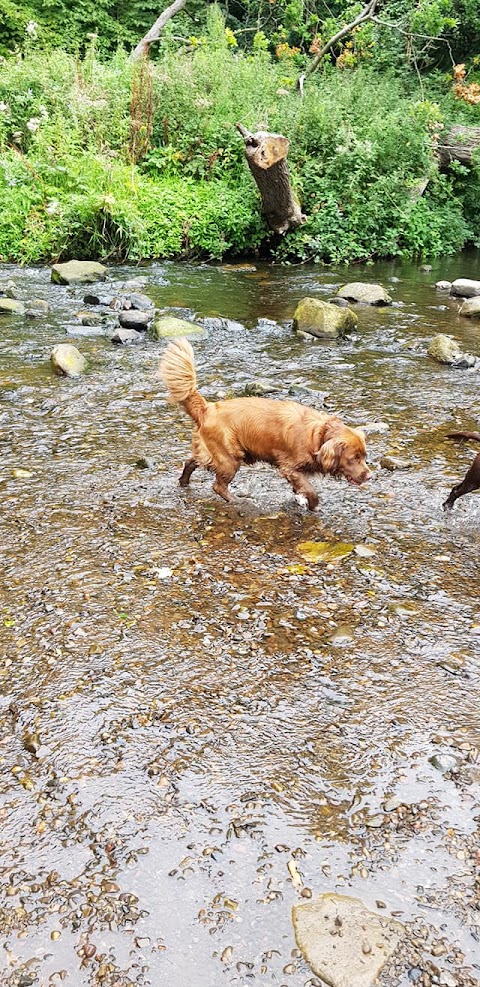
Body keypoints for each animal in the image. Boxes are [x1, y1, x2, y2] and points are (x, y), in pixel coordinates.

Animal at [158, 338, 372, 510]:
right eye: (354, 458)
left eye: (364, 457)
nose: (369, 476)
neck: (318, 435)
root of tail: (207, 408)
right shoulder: (290, 467)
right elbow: (310, 490)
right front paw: (312, 505)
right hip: (229, 458)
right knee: (218, 485)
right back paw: (237, 501)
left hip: (211, 452)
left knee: (191, 462)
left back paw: (184, 483)